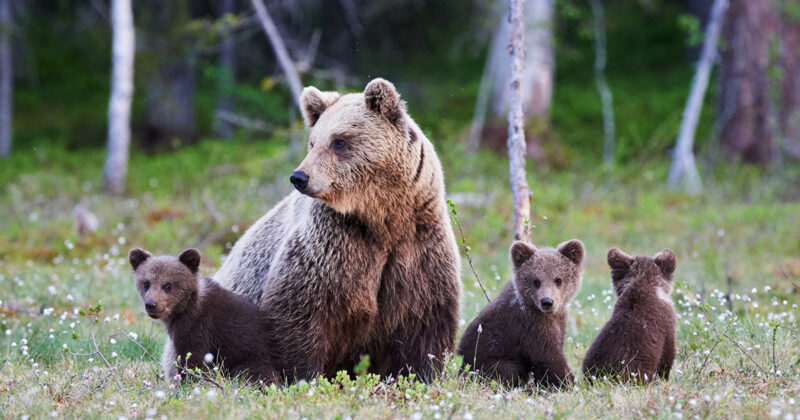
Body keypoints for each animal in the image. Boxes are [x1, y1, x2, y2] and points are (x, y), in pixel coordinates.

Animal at [209, 78, 460, 380]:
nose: (299, 177)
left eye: (339, 141)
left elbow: (424, 323)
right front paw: (302, 376)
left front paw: (420, 374)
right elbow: (299, 313)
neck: (382, 218)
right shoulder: (332, 245)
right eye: (313, 141)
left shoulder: (418, 248)